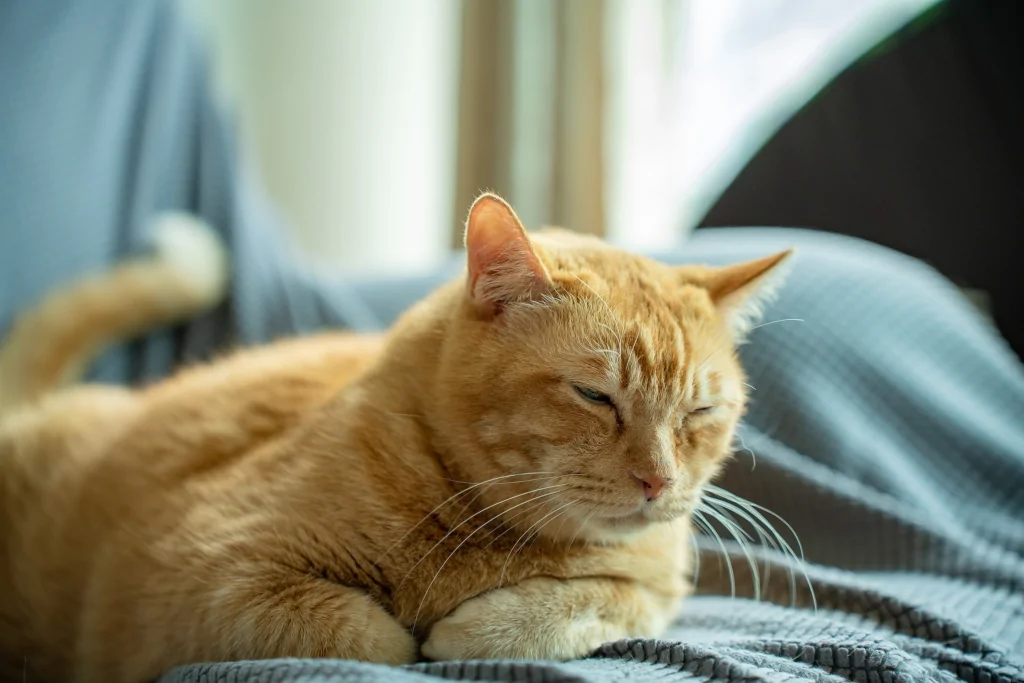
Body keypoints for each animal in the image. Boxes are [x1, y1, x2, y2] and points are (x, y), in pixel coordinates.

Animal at [0, 193, 790, 683]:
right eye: (595, 396)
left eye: (699, 412)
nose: (659, 480)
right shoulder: (200, 581)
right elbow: (370, 638)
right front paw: (417, 635)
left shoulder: (653, 589)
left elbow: (577, 606)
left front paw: (477, 628)